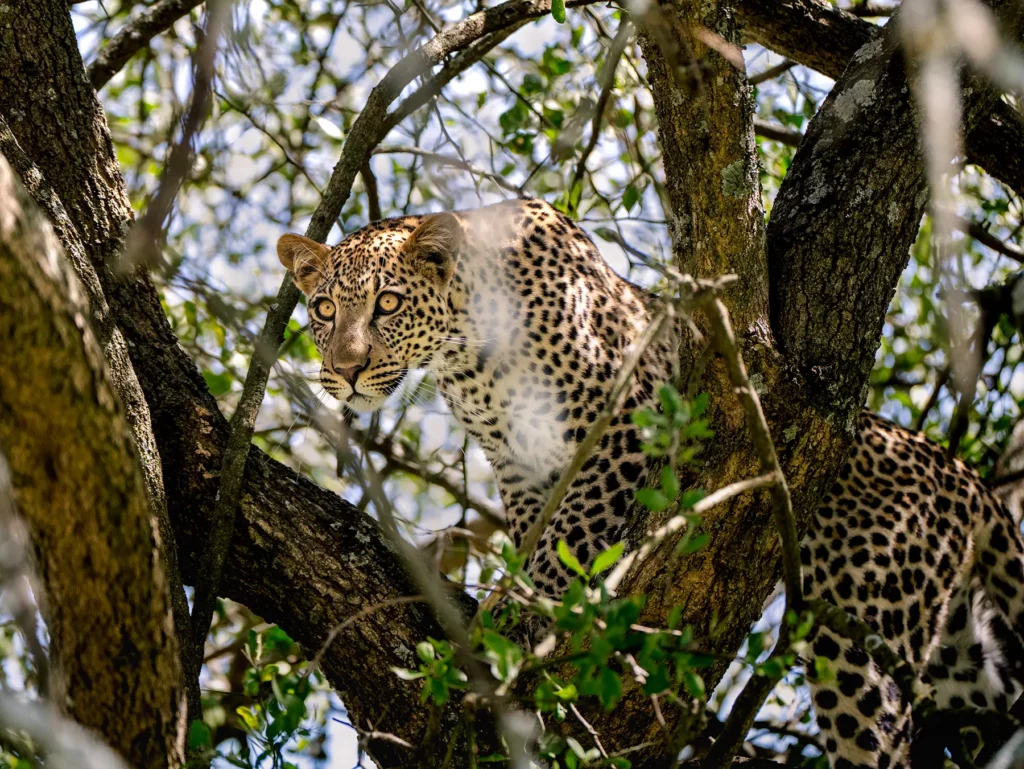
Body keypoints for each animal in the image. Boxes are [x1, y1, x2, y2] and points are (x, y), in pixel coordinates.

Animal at [277, 198, 1024, 769]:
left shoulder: (621, 428)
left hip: (865, 634)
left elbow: (568, 536)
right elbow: (538, 531)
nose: (343, 371)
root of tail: (962, 474)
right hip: (956, 656)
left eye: (388, 303)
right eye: (322, 309)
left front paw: (527, 616)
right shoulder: (521, 463)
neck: (464, 357)